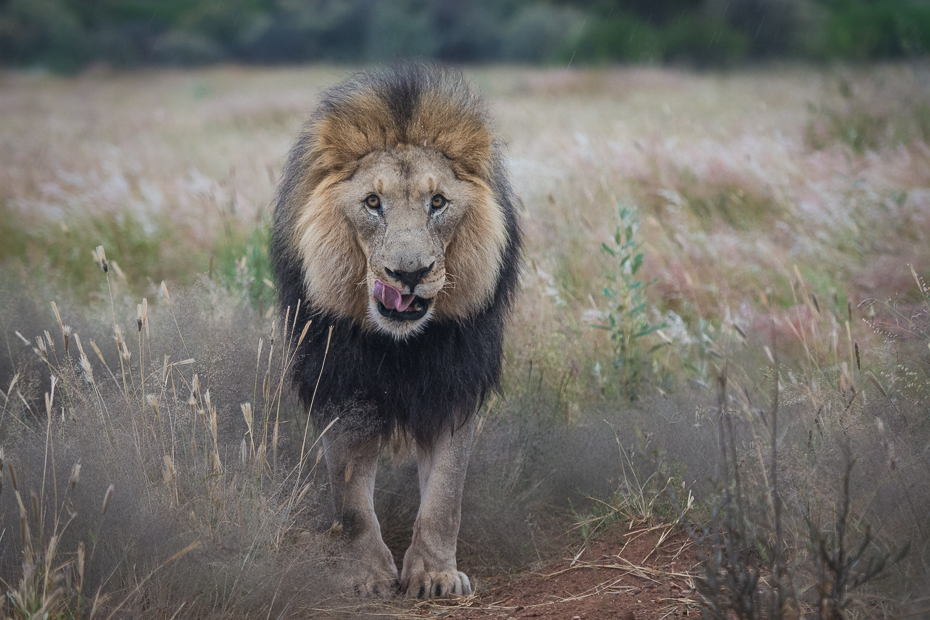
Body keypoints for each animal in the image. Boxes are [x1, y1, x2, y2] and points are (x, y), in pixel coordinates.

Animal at [272, 65, 520, 600]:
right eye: (372, 203)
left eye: (438, 202)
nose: (409, 273)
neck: (400, 346)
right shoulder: (342, 388)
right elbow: (351, 501)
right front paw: (366, 575)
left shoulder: (453, 386)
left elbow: (445, 496)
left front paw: (435, 573)